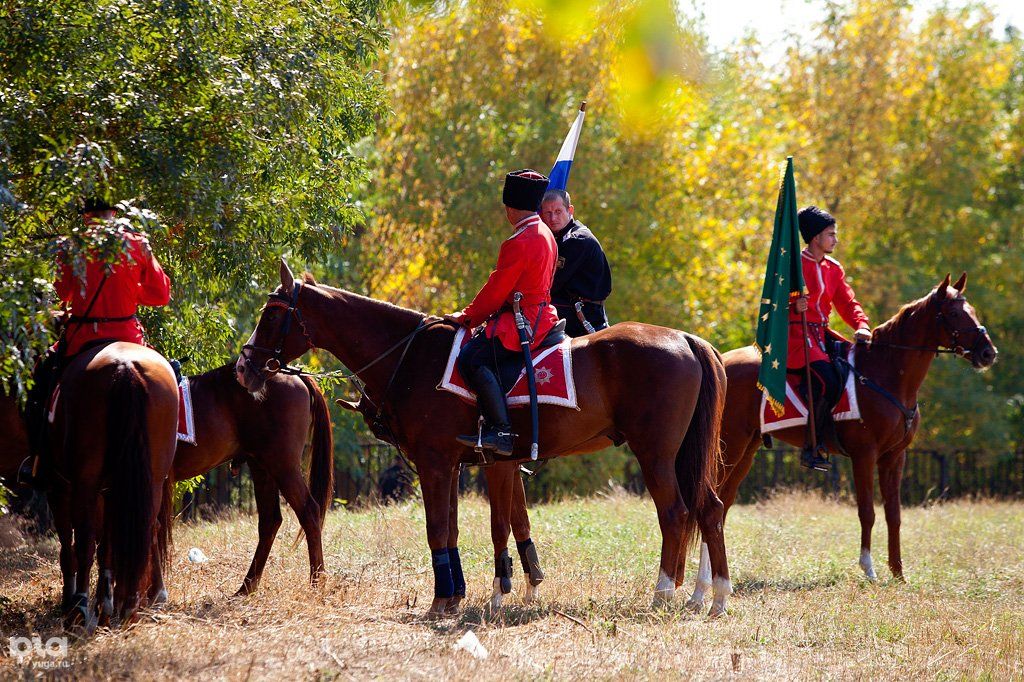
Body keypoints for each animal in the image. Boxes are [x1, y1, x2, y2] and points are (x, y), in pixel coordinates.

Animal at [172, 364, 331, 593]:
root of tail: (293, 373)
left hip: (283, 465)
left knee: (308, 511)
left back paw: (316, 582)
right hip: (262, 467)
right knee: (270, 520)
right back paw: (247, 586)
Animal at [235, 261, 733, 614]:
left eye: (272, 314)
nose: (243, 367)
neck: (413, 355)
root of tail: (685, 338)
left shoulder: (436, 462)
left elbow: (440, 528)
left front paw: (446, 598)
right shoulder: (463, 463)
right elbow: (470, 527)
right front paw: (463, 593)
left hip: (656, 453)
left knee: (675, 513)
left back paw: (665, 593)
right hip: (681, 457)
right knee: (708, 509)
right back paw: (710, 596)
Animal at [684, 274, 995, 606]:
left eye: (972, 310)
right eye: (954, 313)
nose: (988, 353)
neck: (885, 374)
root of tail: (718, 360)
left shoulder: (895, 457)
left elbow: (894, 514)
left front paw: (898, 573)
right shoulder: (864, 455)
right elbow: (867, 512)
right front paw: (869, 570)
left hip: (746, 450)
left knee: (722, 505)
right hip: (730, 447)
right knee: (711, 504)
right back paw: (703, 590)